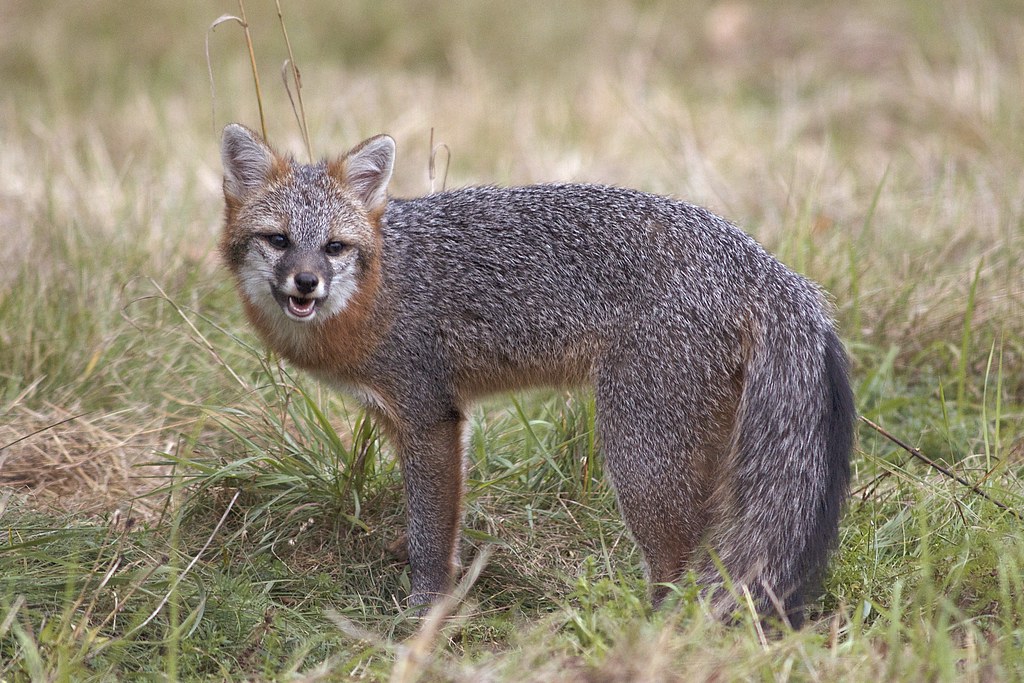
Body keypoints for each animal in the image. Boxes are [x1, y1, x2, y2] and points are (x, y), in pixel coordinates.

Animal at [218, 123, 855, 627]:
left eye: (333, 247)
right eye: (278, 240)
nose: (306, 283)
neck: (383, 283)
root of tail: (767, 265)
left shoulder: (430, 416)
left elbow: (432, 530)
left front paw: (425, 609)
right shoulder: (402, 417)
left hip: (638, 457)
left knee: (679, 566)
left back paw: (650, 633)